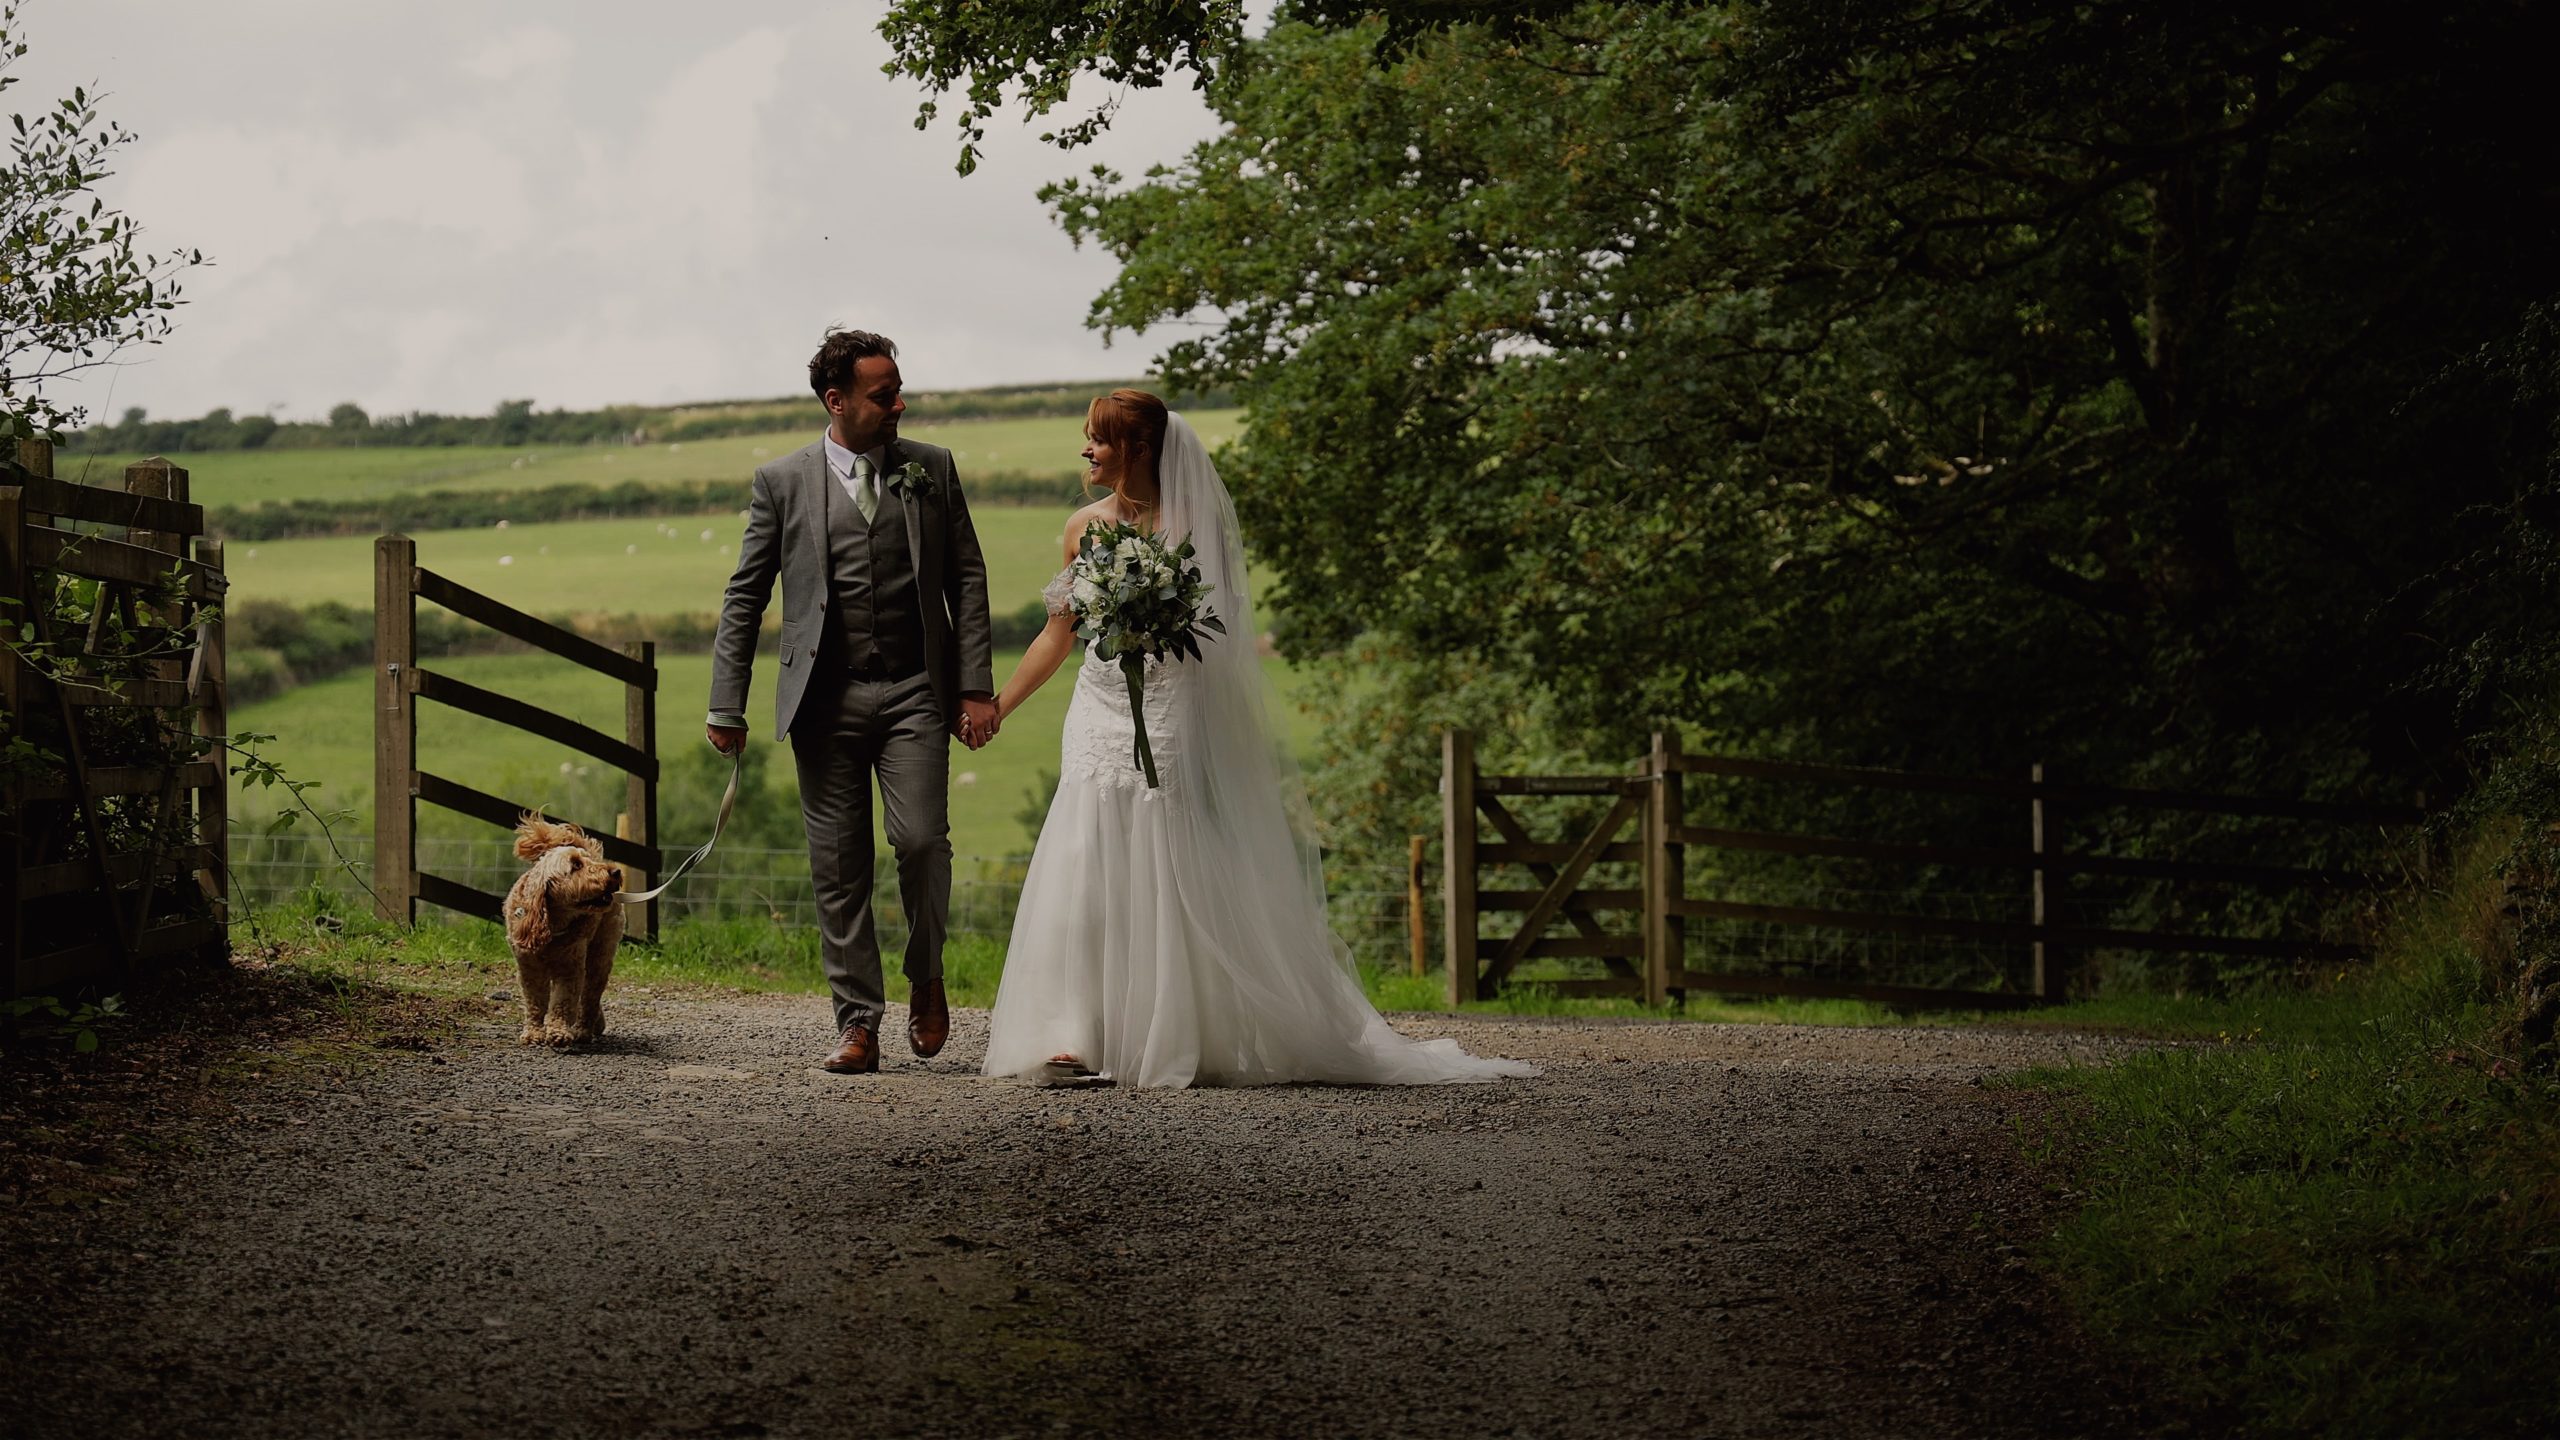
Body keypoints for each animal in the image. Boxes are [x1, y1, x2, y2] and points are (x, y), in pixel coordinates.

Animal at [501, 814, 622, 1035]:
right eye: (576, 865)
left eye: (586, 861)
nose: (616, 871)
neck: (553, 924)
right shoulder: (529, 968)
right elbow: (535, 1002)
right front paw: (533, 1032)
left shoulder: (569, 967)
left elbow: (562, 1002)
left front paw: (558, 1032)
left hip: (600, 955)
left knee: (590, 996)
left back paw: (584, 1029)